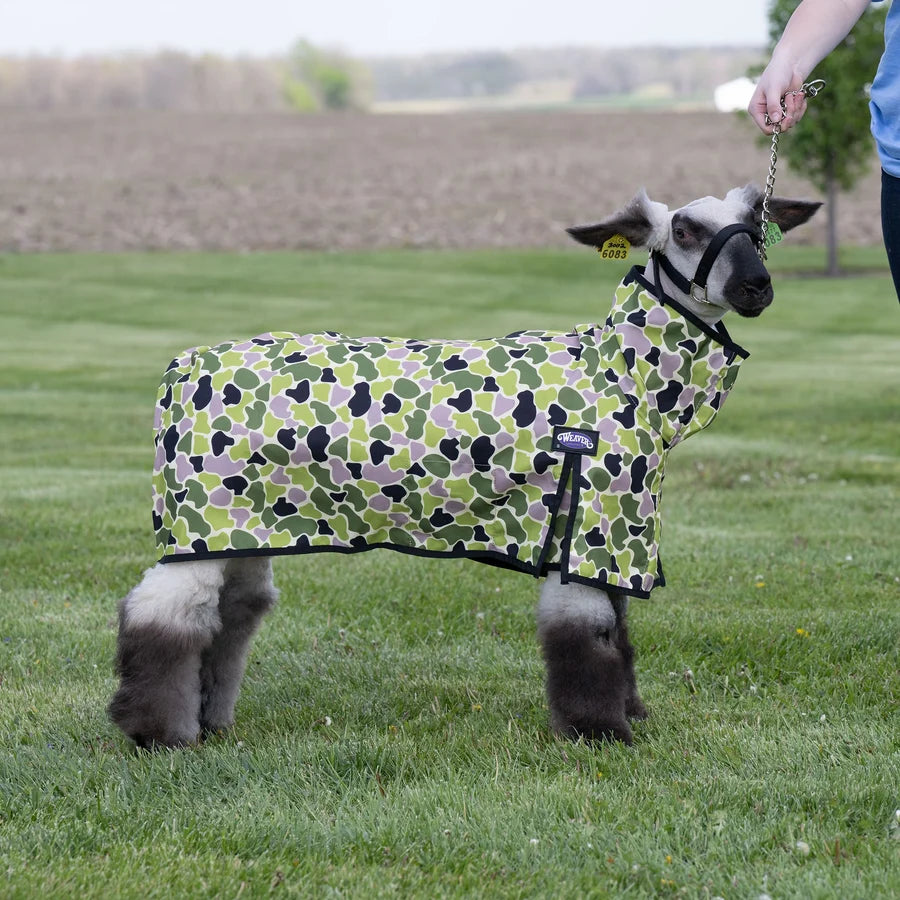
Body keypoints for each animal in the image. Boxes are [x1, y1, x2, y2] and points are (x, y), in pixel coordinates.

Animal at [108, 184, 820, 749]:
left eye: (755, 225)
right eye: (685, 229)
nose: (757, 286)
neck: (623, 373)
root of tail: (181, 368)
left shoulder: (612, 533)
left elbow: (619, 629)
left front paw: (632, 716)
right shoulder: (583, 522)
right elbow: (587, 635)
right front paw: (601, 733)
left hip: (246, 523)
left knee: (232, 614)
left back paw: (211, 722)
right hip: (199, 516)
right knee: (164, 613)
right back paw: (158, 734)